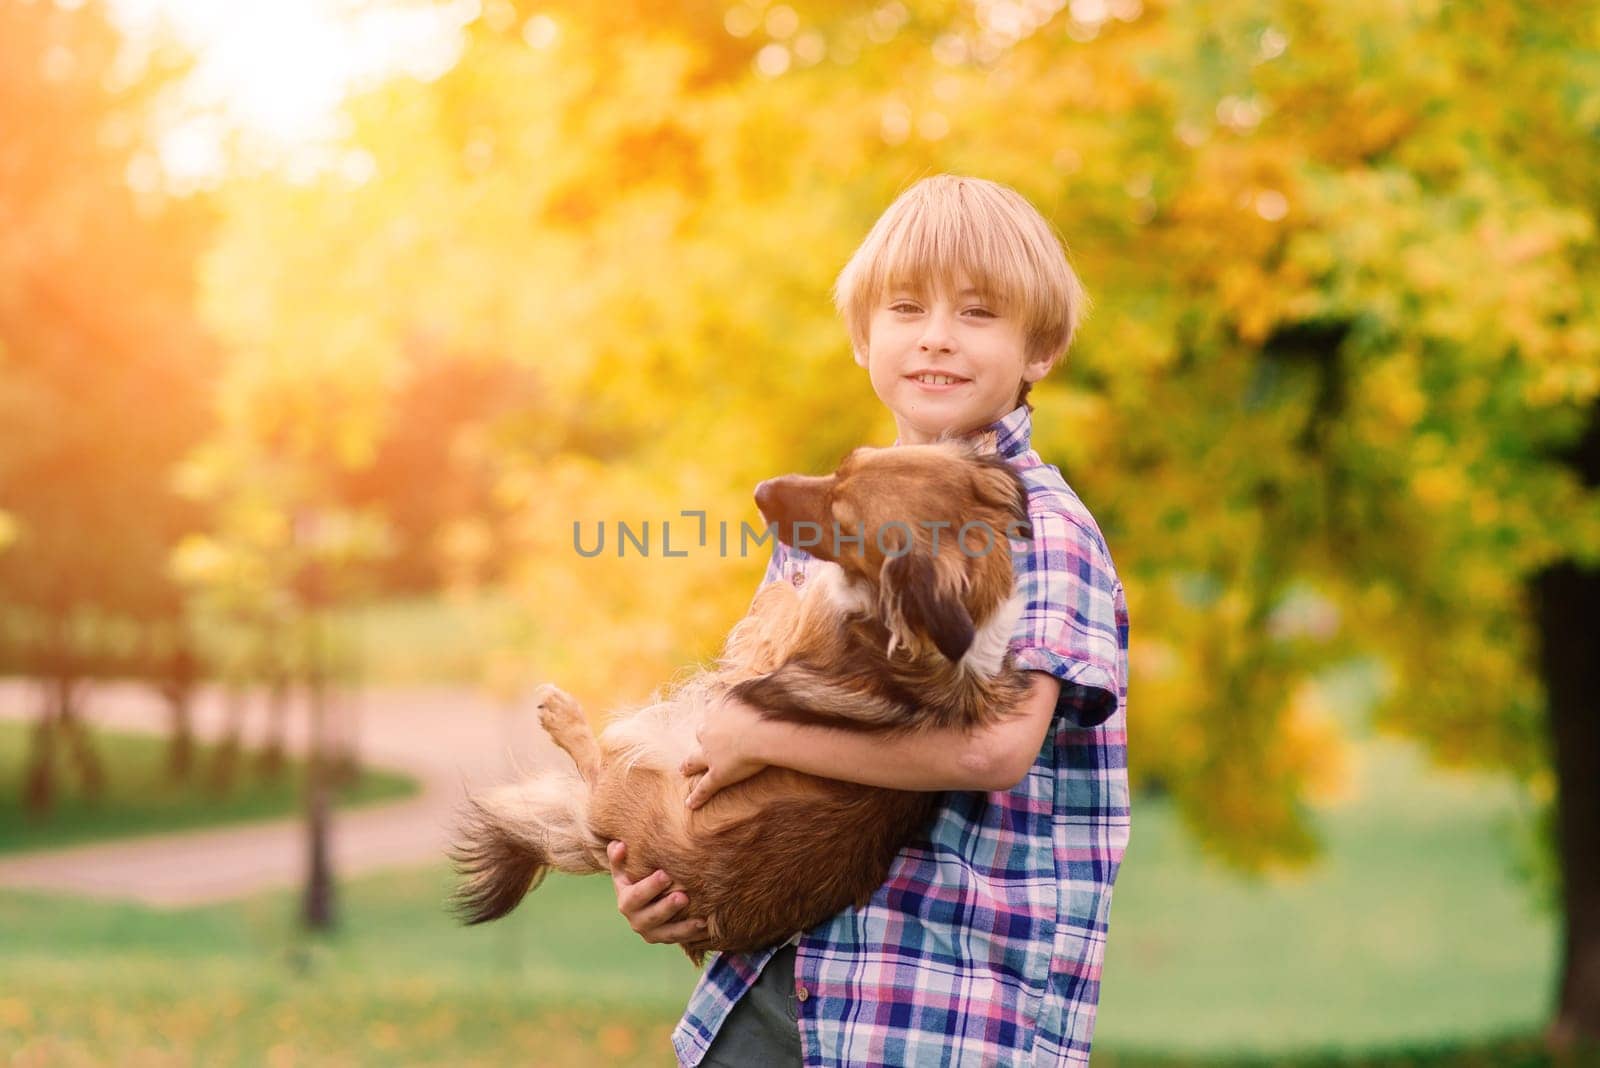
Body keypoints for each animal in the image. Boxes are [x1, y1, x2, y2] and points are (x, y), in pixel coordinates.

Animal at [451, 438, 1030, 965]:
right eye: (845, 464)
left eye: (843, 518)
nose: (761, 491)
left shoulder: (786, 634)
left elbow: (780, 604)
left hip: (636, 772)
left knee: (598, 760)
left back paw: (562, 714)